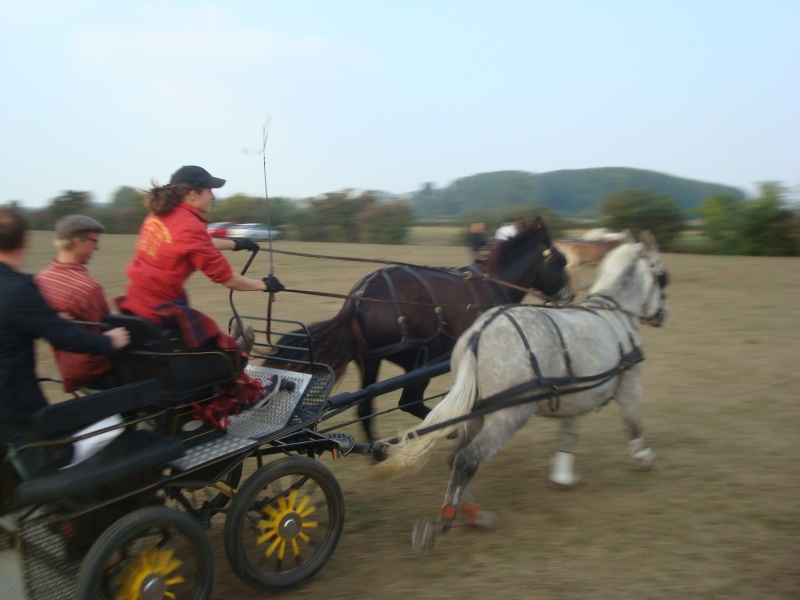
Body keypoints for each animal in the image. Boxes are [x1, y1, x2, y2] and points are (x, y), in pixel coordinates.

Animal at [272, 217, 572, 440]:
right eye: (560, 260)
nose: (570, 295)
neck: (495, 282)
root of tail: (359, 299)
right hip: (420, 358)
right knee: (411, 402)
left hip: (371, 362)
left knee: (367, 407)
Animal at [376, 232, 668, 552]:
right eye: (662, 277)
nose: (662, 315)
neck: (614, 313)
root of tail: (477, 335)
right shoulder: (629, 383)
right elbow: (633, 420)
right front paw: (643, 456)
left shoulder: (579, 391)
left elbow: (570, 431)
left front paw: (563, 472)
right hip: (509, 413)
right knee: (468, 458)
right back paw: (446, 519)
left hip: (478, 412)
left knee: (457, 458)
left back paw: (474, 513)